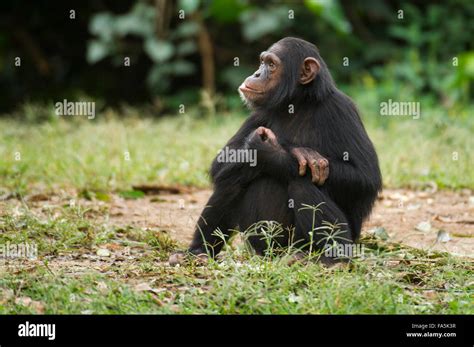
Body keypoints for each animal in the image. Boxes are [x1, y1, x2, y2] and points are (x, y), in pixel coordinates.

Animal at [169, 37, 382, 264]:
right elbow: (222, 160)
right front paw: (289, 152)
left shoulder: (342, 110)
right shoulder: (259, 114)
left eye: (271, 65)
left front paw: (274, 153)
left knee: (301, 184)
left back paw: (333, 259)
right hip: (263, 243)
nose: (256, 73)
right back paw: (198, 251)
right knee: (232, 181)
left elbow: (365, 177)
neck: (298, 104)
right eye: (262, 62)